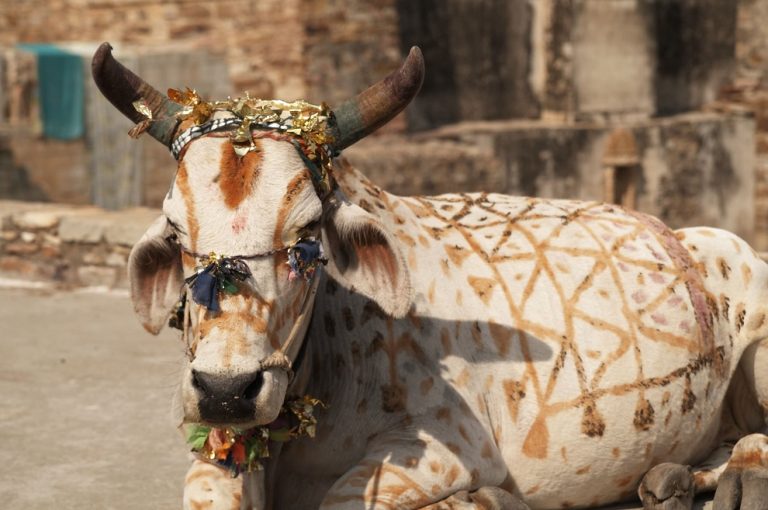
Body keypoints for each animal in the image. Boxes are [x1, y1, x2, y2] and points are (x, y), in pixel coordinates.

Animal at [93, 42, 768, 510]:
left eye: (308, 234)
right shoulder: (221, 449)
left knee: (756, 440)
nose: (226, 391)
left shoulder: (451, 446)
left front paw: (483, 500)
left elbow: (344, 499)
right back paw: (671, 476)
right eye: (176, 230)